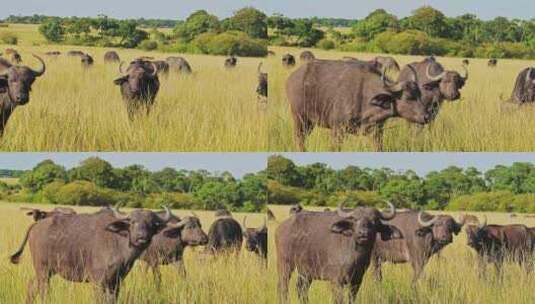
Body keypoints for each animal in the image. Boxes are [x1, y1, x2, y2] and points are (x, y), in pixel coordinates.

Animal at [9, 207, 174, 304]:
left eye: (152, 224)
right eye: (132, 222)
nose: (142, 237)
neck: (119, 240)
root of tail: (36, 224)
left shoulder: (116, 282)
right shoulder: (98, 281)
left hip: (45, 271)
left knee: (32, 286)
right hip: (43, 270)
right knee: (43, 291)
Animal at [286, 59, 434, 151]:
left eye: (419, 94)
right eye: (408, 97)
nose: (427, 116)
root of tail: (293, 77)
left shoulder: (377, 132)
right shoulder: (337, 130)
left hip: (309, 123)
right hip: (299, 119)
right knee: (299, 140)